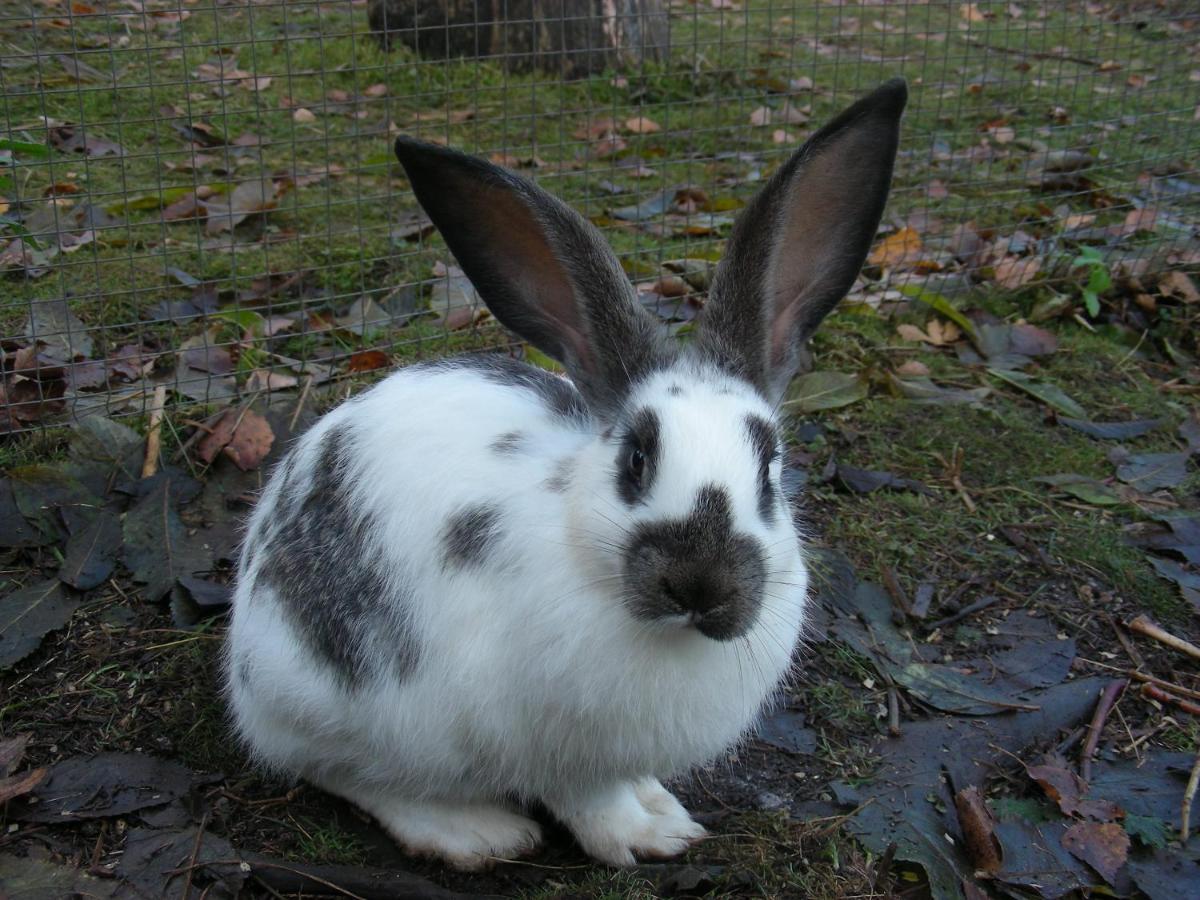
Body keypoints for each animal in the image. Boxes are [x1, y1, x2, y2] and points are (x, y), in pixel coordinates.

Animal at [225, 79, 902, 873]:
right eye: (635, 459)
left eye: (769, 468)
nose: (699, 585)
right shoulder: (556, 751)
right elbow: (588, 800)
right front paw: (647, 838)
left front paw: (661, 809)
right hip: (342, 708)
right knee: (344, 772)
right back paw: (472, 832)